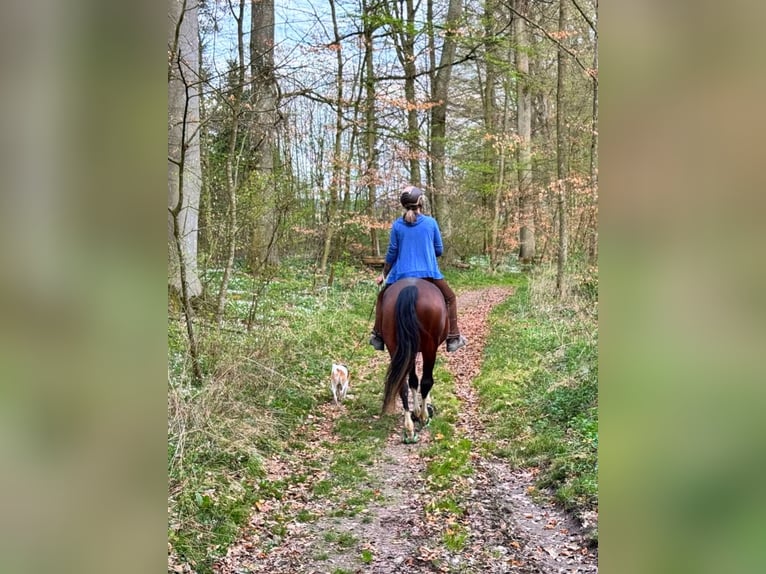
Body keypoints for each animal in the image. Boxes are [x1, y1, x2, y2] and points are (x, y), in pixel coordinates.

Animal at [380, 278, 448, 442]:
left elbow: (412, 381)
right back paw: (423, 417)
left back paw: (409, 428)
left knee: (402, 385)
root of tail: (411, 287)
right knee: (426, 382)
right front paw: (424, 409)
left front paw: (416, 411)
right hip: (430, 347)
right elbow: (423, 382)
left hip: (396, 346)